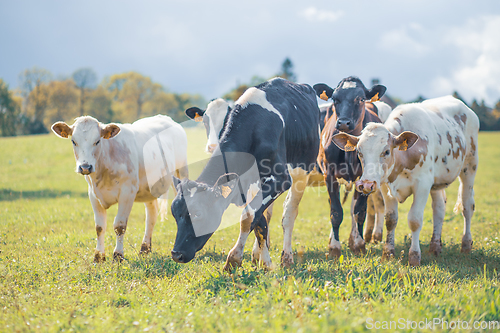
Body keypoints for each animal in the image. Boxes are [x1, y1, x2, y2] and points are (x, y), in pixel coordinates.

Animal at [51, 115, 188, 260]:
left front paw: (118, 255)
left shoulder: (128, 192)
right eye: (74, 141)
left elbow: (119, 225)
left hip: (181, 173)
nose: (85, 167)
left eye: (97, 141)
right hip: (149, 190)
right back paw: (145, 248)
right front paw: (98, 256)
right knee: (151, 215)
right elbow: (99, 227)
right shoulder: (93, 195)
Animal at [171, 76, 320, 268]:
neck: (253, 127)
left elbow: (249, 216)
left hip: (301, 171)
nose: (176, 254)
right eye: (175, 214)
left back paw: (287, 257)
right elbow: (259, 220)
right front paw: (264, 261)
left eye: (198, 213)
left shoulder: (280, 179)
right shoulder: (241, 182)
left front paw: (234, 258)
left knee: (289, 214)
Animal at [312, 76, 386, 256]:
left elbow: (359, 211)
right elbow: (336, 212)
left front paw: (359, 244)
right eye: (335, 99)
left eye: (360, 99)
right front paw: (334, 246)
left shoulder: (365, 177)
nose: (344, 123)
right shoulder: (329, 174)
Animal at [332, 95, 480, 264]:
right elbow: (391, 219)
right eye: (359, 152)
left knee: (467, 206)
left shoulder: (422, 185)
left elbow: (415, 220)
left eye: (386, 151)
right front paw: (388, 253)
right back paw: (435, 247)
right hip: (437, 183)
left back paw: (466, 245)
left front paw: (414, 256)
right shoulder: (386, 187)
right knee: (439, 209)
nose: (367, 184)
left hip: (469, 167)